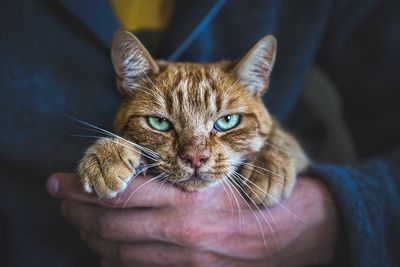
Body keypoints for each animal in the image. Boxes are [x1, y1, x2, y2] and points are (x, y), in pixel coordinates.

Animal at [79, 30, 310, 207]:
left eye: (228, 121)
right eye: (159, 123)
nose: (195, 158)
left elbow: (282, 138)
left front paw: (269, 165)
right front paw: (108, 154)